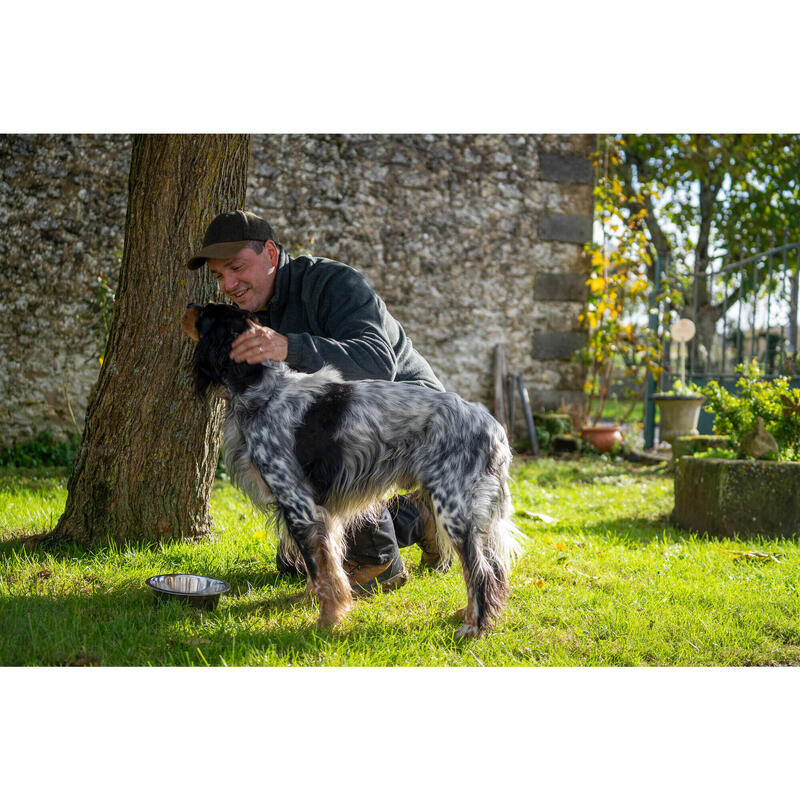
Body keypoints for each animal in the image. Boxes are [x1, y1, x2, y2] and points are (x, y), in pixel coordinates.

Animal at [180, 302, 524, 636]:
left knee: (480, 572)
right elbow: (329, 568)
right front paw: (324, 607)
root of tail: (492, 426)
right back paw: (468, 615)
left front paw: (327, 623)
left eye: (206, 312)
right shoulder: (324, 514)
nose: (188, 305)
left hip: (455, 509)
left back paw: (473, 627)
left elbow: (319, 570)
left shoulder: (299, 505)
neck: (262, 389)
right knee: (494, 568)